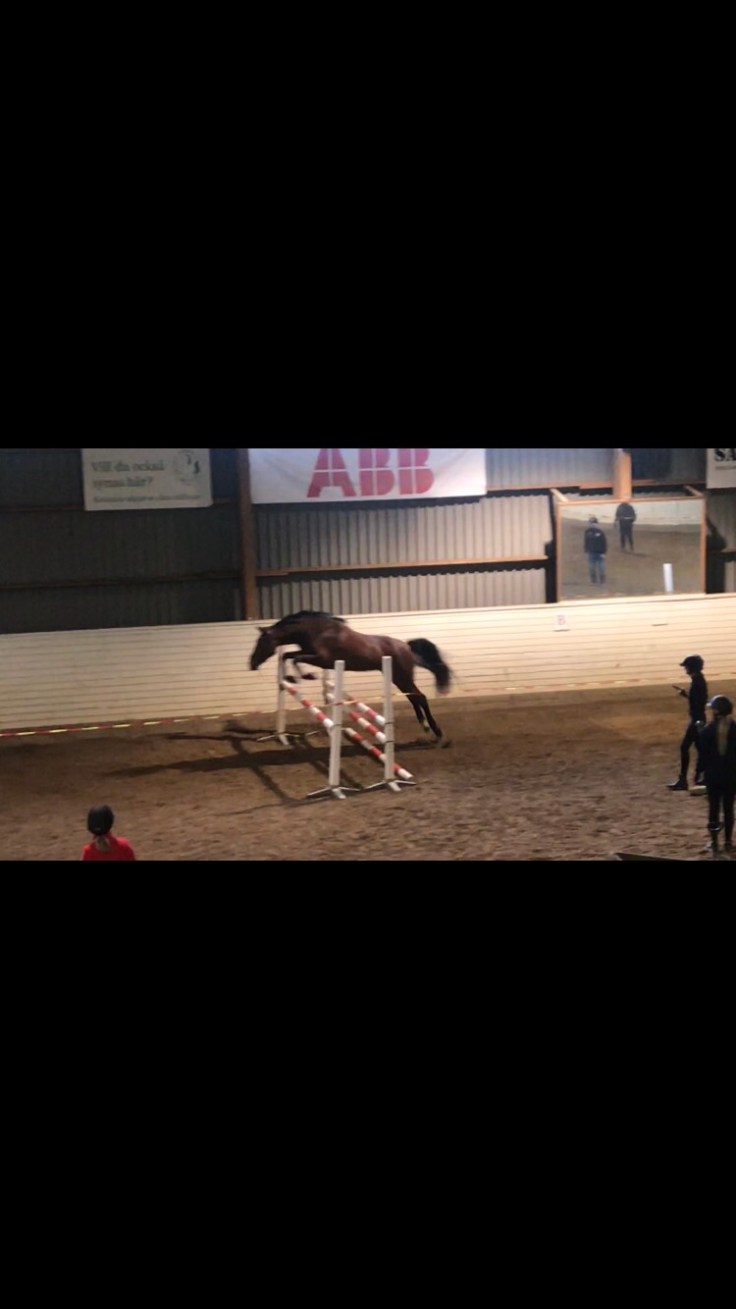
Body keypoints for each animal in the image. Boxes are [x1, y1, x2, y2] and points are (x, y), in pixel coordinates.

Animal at [249, 611, 453, 743]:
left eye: (261, 641)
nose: (251, 664)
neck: (316, 630)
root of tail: (406, 646)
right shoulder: (308, 653)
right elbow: (288, 655)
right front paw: (293, 678)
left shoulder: (322, 659)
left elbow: (296, 658)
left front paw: (306, 676)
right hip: (397, 678)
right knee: (414, 698)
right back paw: (426, 728)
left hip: (402, 676)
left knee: (420, 697)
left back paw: (438, 733)